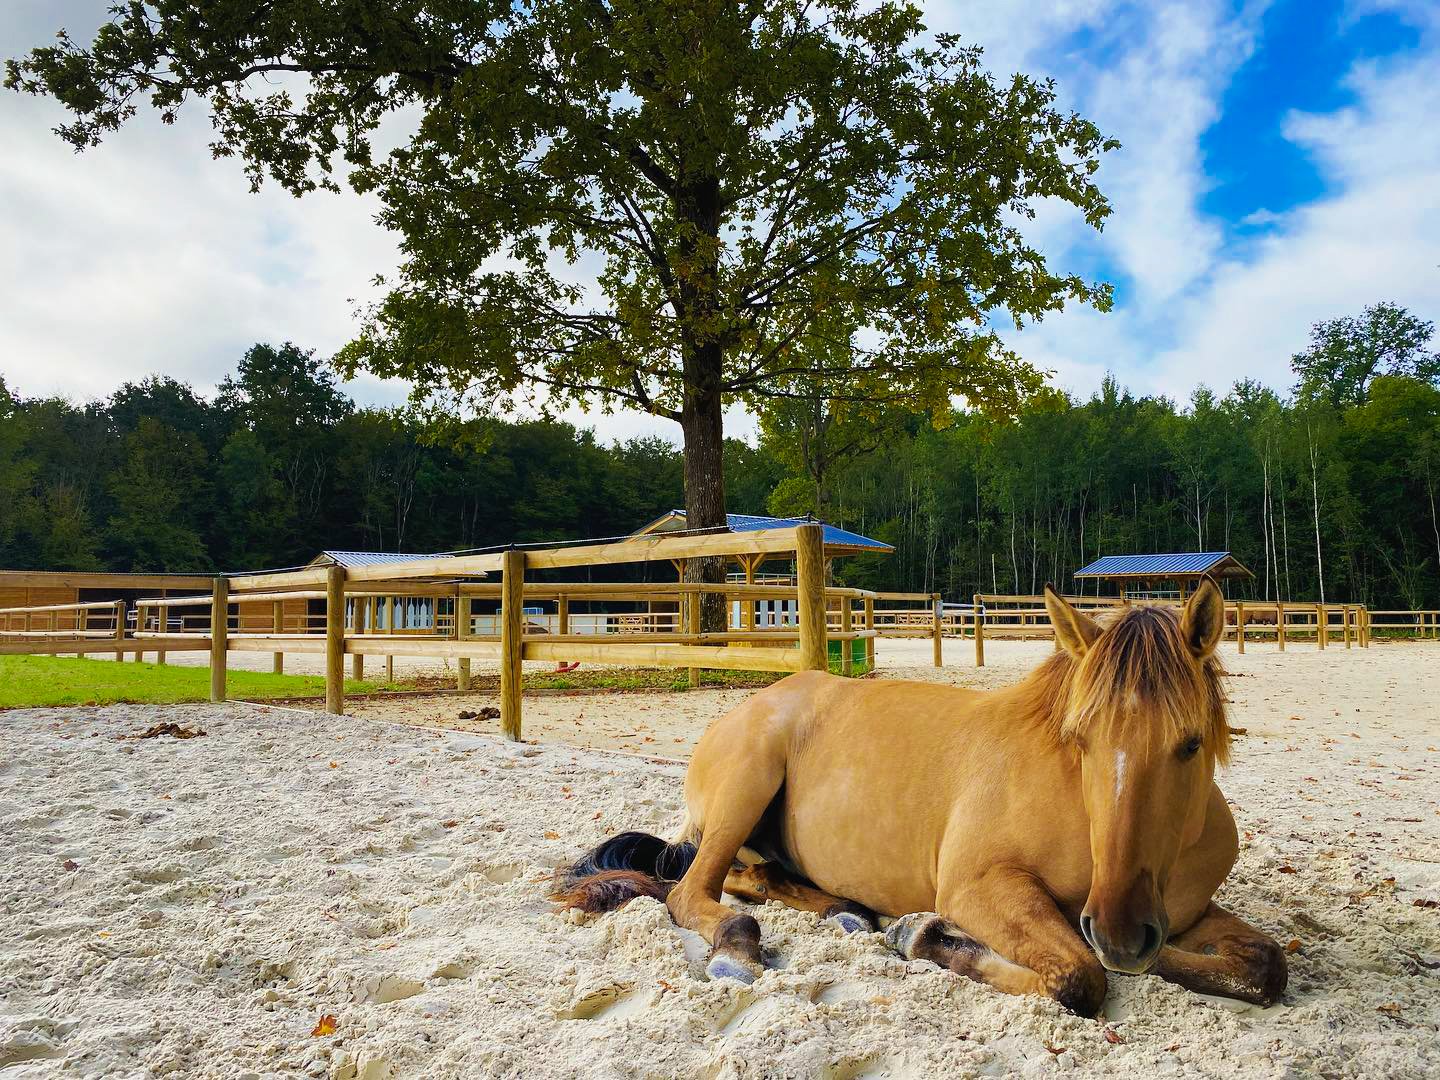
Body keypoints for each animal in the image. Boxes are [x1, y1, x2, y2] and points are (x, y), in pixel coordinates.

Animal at [555, 578, 1290, 1019]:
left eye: (1189, 744)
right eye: (1080, 738)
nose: (1120, 929)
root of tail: (753, 701)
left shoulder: (1181, 914)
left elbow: (1262, 966)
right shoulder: (980, 887)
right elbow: (1078, 976)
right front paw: (928, 935)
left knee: (746, 876)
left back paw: (847, 913)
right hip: (747, 783)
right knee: (693, 890)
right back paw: (743, 947)